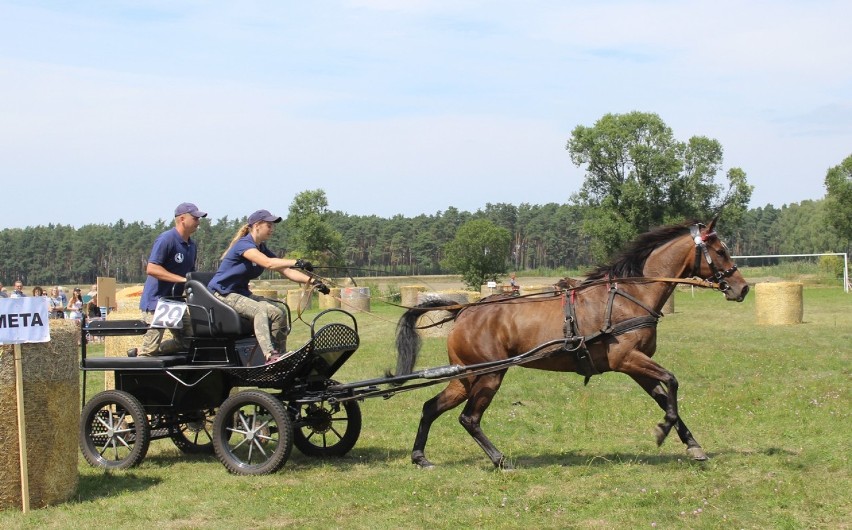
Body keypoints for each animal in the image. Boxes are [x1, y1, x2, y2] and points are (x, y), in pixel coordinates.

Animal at [392, 218, 744, 466]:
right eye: (721, 251)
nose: (741, 288)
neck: (629, 295)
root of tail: (464, 309)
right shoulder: (627, 359)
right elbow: (671, 382)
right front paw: (662, 431)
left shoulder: (636, 367)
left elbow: (664, 397)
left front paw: (693, 446)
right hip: (489, 375)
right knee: (469, 418)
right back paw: (500, 459)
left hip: (466, 376)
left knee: (431, 407)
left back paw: (420, 457)